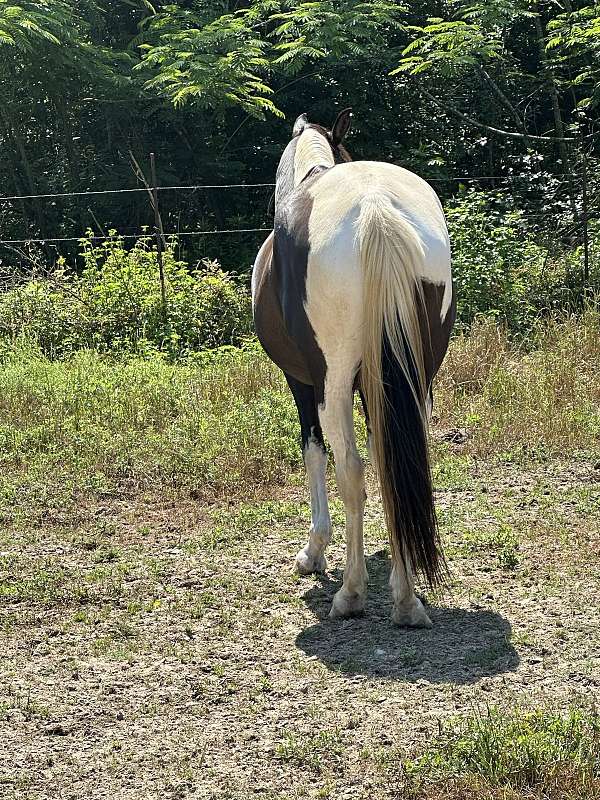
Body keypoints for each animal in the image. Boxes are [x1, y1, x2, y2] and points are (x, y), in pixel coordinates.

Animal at [252, 109, 454, 628]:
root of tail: (375, 207)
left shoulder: (302, 382)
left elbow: (314, 454)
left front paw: (314, 552)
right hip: (418, 377)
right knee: (394, 461)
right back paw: (407, 600)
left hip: (335, 383)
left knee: (352, 469)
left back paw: (352, 593)